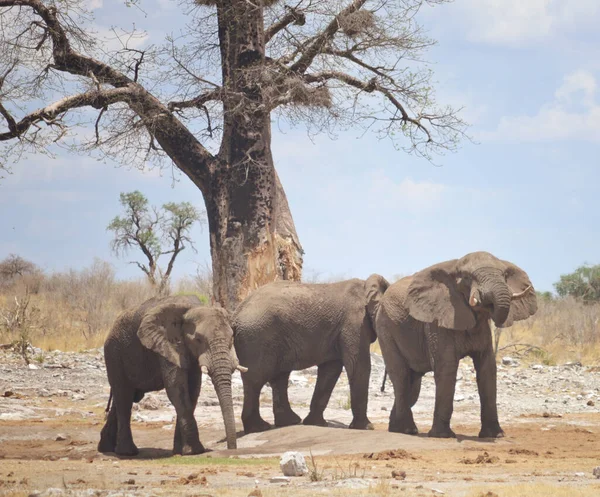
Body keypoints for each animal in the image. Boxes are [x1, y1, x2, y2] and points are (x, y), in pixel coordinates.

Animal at [98, 292, 246, 456]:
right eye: (198, 340)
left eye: (231, 338)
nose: (231, 449)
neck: (192, 307)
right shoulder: (167, 344)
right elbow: (177, 389)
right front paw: (194, 451)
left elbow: (193, 390)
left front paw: (181, 451)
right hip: (114, 354)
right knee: (124, 396)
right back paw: (127, 452)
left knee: (123, 399)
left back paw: (106, 448)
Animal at [230, 276, 390, 434]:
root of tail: (237, 313)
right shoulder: (354, 323)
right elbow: (358, 366)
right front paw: (366, 427)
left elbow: (330, 371)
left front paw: (316, 423)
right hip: (257, 335)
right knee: (256, 379)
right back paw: (259, 428)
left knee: (279, 377)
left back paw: (290, 422)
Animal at [376, 252, 540, 438]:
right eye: (467, 277)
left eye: (505, 275)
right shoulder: (437, 319)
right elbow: (447, 366)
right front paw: (442, 436)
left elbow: (487, 369)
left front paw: (495, 435)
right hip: (385, 328)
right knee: (401, 375)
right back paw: (407, 430)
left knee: (414, 383)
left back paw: (397, 429)